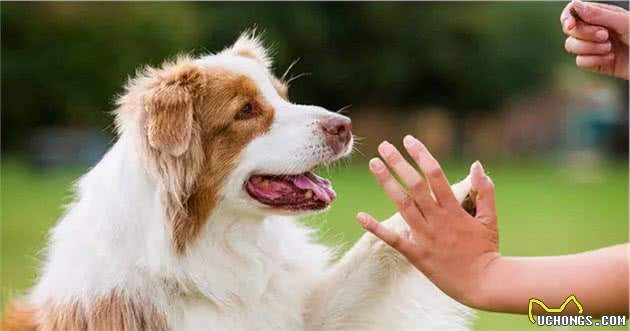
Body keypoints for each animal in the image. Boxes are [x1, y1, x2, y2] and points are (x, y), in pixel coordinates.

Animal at [0, 31, 474, 331]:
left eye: (284, 96)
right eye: (245, 111)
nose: (345, 126)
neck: (212, 243)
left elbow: (372, 250)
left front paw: (448, 204)